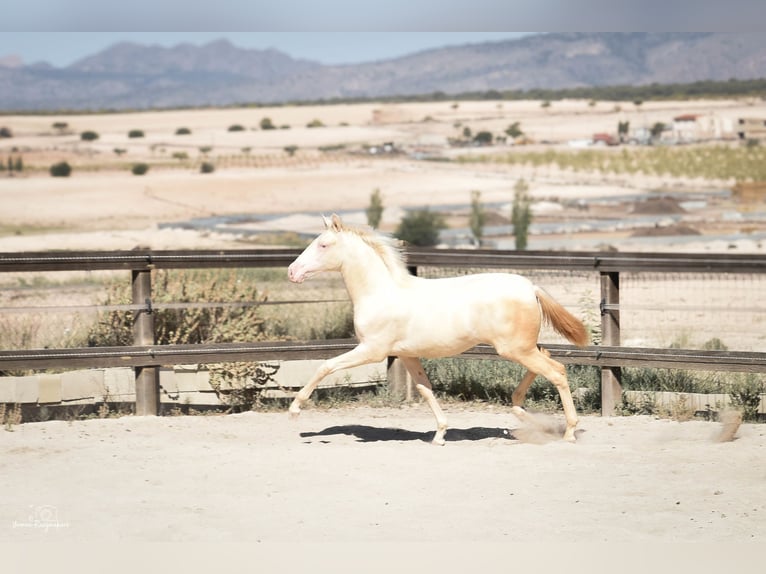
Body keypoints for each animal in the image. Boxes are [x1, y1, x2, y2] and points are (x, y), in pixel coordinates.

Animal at [284, 216, 592, 446]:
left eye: (323, 244)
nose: (292, 272)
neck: (380, 292)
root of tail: (531, 287)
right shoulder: (406, 355)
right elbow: (426, 389)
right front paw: (440, 434)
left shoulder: (372, 350)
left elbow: (325, 366)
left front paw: (295, 409)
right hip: (521, 348)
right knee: (548, 358)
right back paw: (522, 412)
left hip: (514, 349)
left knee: (557, 371)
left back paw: (568, 431)